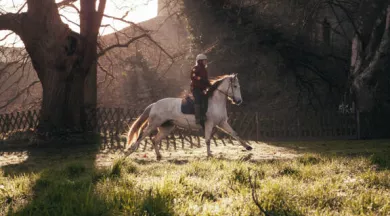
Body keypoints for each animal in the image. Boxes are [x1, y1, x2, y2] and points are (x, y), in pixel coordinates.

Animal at [124, 73, 253, 159]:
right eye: (235, 86)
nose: (239, 101)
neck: (215, 102)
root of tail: (154, 104)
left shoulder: (222, 123)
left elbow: (235, 134)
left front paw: (248, 147)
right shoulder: (209, 124)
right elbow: (207, 140)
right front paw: (209, 154)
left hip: (167, 127)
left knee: (154, 139)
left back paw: (159, 156)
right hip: (153, 124)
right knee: (141, 136)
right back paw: (129, 152)